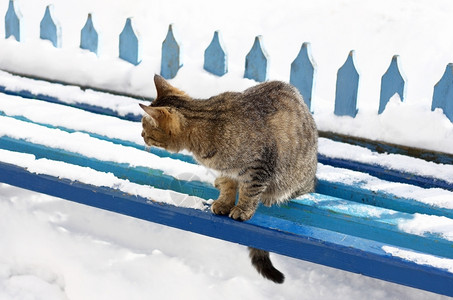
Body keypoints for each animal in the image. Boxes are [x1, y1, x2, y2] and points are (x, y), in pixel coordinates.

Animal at [140, 75, 318, 284]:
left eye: (144, 126)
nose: (141, 135)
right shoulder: (225, 171)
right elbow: (228, 186)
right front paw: (224, 202)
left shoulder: (259, 167)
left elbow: (250, 191)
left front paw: (242, 209)